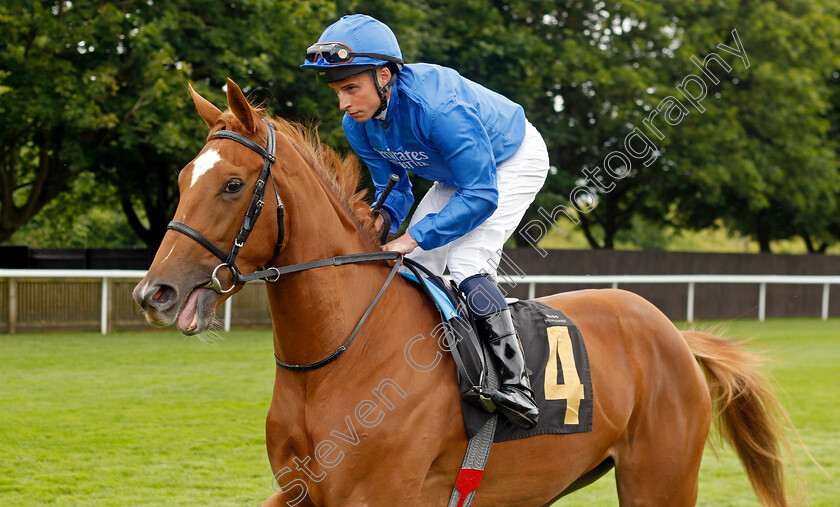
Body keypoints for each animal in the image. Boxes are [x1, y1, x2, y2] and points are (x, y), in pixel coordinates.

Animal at [135, 77, 796, 506]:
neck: (338, 355)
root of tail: (675, 337)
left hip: (659, 481)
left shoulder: (377, 495)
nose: (154, 292)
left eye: (232, 184)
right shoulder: (302, 491)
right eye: (182, 179)